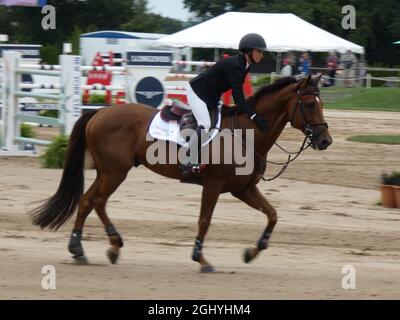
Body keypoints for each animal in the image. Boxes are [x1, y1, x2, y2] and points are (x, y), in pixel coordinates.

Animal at [30, 74, 332, 272]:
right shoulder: (213, 185)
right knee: (96, 201)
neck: (247, 132)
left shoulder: (242, 188)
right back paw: (96, 247)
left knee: (89, 201)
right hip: (115, 172)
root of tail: (99, 112)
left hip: (109, 172)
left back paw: (89, 249)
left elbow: (272, 215)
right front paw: (202, 259)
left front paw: (251, 252)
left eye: (321, 103)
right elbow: (204, 221)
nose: (325, 140)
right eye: (309, 104)